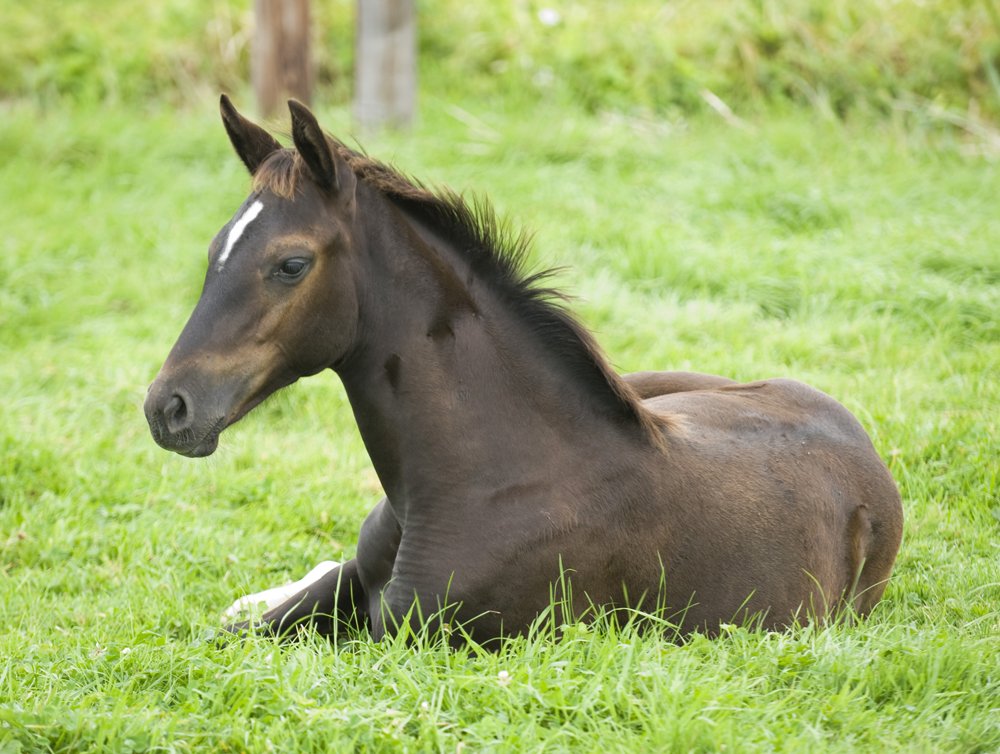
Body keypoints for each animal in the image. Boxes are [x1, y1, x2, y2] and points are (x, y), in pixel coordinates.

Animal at [144, 96, 903, 643]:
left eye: (291, 263)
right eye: (216, 248)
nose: (166, 408)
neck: (494, 471)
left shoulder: (421, 641)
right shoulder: (345, 592)